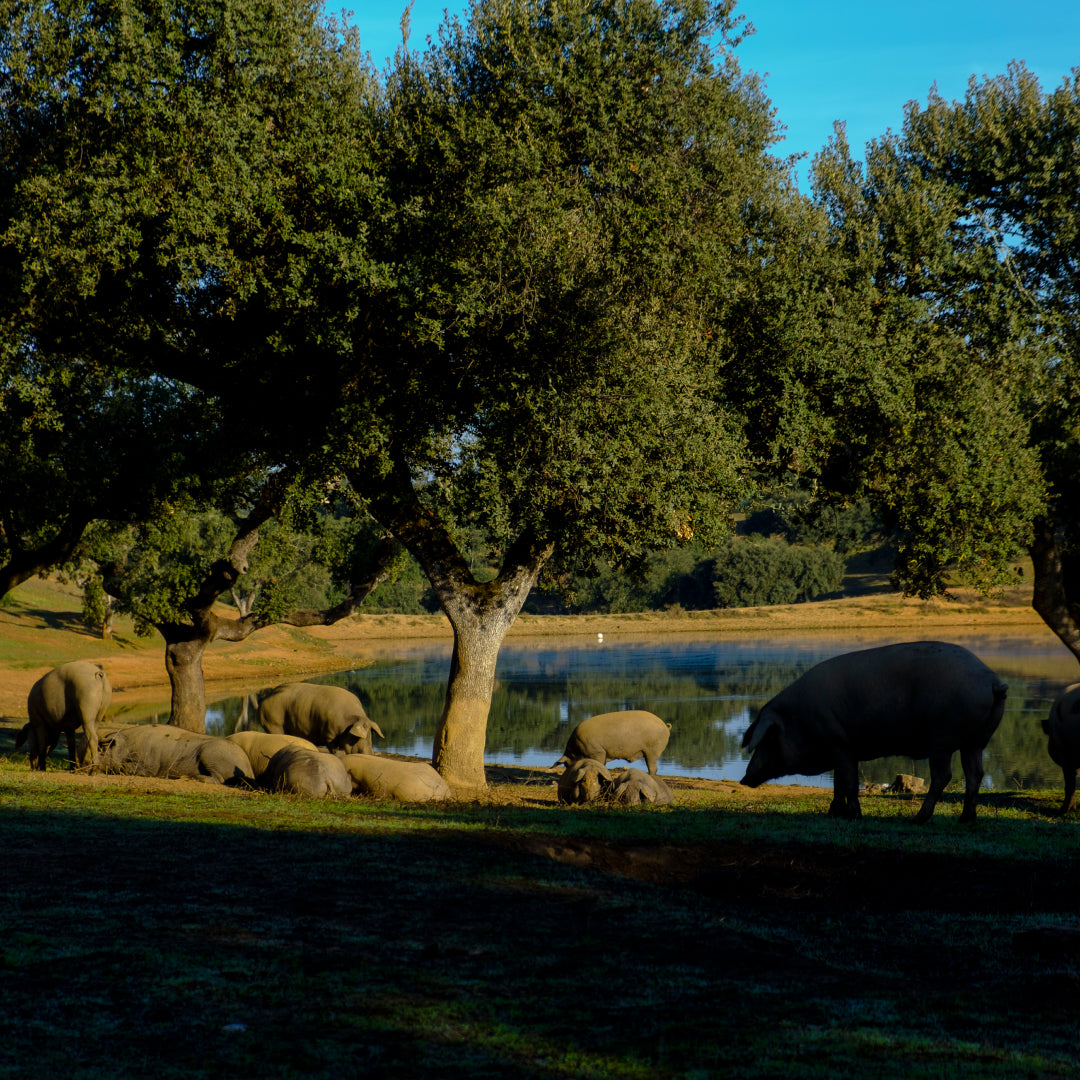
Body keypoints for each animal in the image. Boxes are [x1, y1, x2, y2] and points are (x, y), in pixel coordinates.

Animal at [255, 682, 384, 751]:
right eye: (355, 738)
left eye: (370, 737)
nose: (369, 754)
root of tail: (263, 701)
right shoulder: (329, 734)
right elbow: (335, 749)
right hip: (272, 720)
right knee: (277, 733)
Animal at [738, 639, 1006, 825]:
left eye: (767, 739)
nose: (743, 779)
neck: (800, 720)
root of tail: (991, 680)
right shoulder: (842, 750)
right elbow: (838, 782)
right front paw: (833, 814)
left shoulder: (840, 744)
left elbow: (848, 782)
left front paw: (854, 816)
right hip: (977, 741)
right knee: (975, 774)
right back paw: (965, 819)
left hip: (942, 740)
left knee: (943, 776)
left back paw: (917, 819)